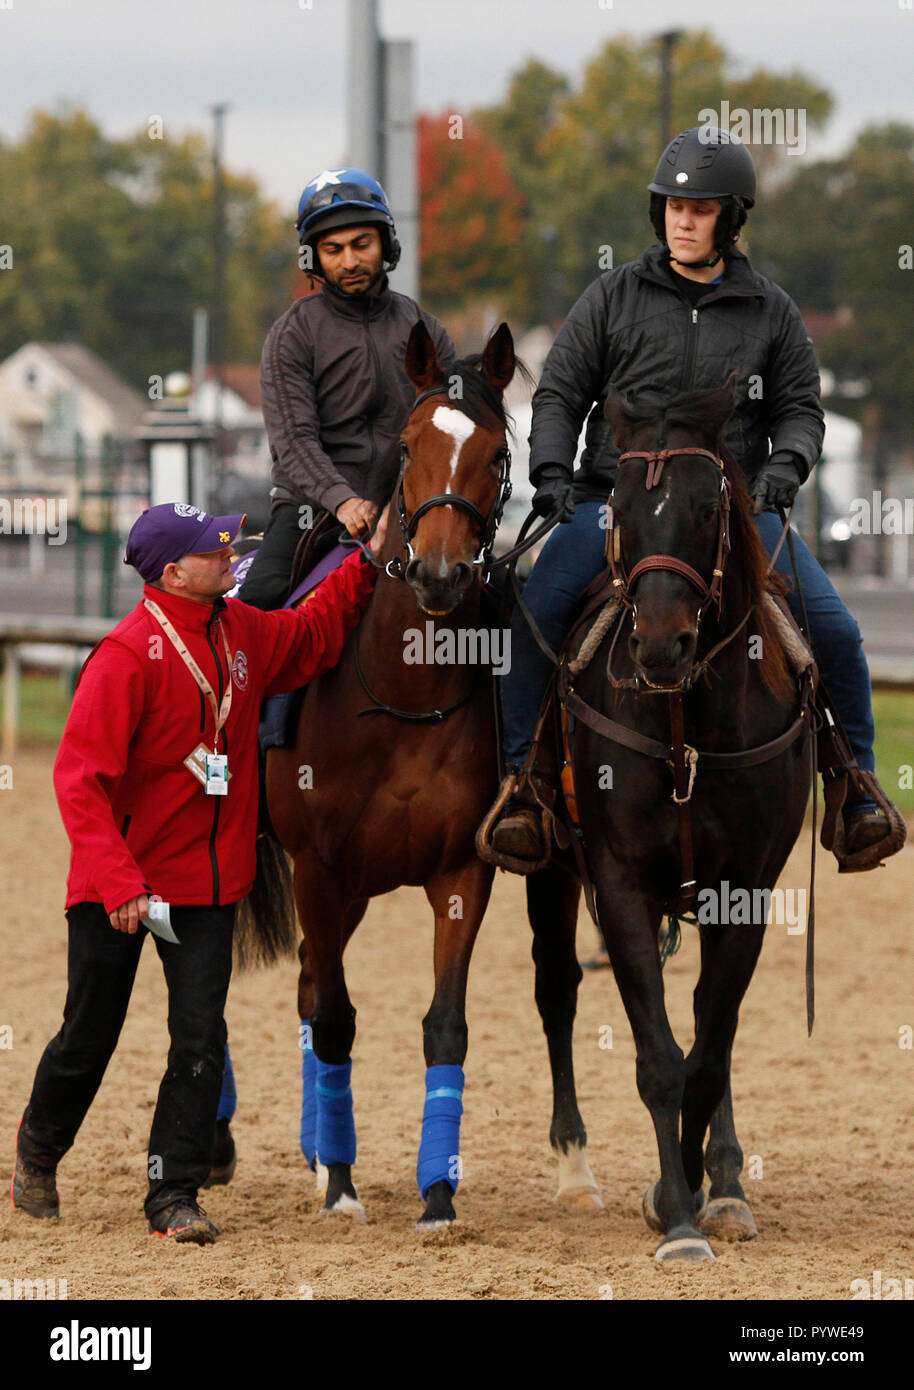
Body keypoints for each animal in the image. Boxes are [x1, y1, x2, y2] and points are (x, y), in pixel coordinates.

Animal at [263, 318, 519, 1228]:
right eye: (408, 446)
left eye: (496, 451)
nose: (441, 574)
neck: (403, 690)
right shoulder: (319, 869)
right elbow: (338, 1018)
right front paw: (342, 1182)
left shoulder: (462, 870)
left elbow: (445, 1023)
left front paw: (437, 1191)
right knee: (312, 992)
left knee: (310, 982)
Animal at [522, 378, 816, 1262]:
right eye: (616, 504)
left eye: (707, 505)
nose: (660, 645)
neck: (687, 720)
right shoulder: (617, 883)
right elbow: (660, 1059)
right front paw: (676, 1215)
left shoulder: (745, 891)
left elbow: (707, 1058)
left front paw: (694, 1190)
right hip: (552, 873)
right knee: (557, 990)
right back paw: (576, 1172)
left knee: (712, 1032)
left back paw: (725, 1181)